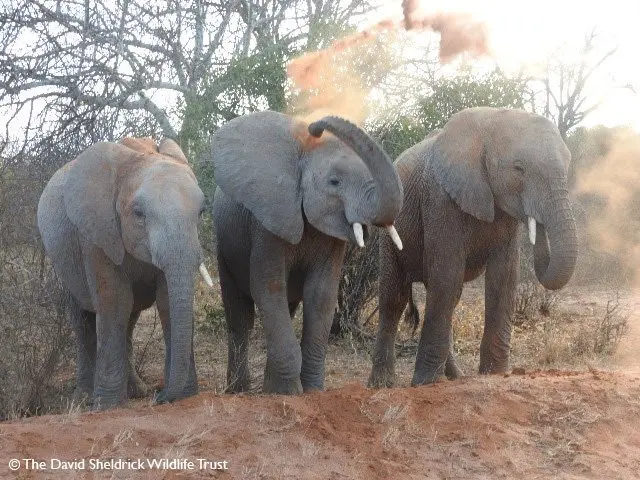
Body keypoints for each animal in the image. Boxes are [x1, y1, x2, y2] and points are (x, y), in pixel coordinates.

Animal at [37, 136, 212, 408]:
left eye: (202, 212)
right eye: (139, 214)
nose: (159, 397)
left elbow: (166, 302)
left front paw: (185, 395)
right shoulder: (96, 232)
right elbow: (114, 301)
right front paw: (107, 406)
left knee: (129, 319)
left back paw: (136, 391)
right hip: (64, 261)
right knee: (82, 319)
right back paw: (84, 398)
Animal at [212, 111, 402, 394]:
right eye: (334, 182)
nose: (315, 126)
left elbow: (322, 294)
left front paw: (312, 391)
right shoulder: (269, 222)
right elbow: (268, 287)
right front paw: (288, 394)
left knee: (286, 310)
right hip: (223, 246)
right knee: (239, 316)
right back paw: (239, 390)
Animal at [368, 107, 576, 388]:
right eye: (519, 168)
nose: (538, 222)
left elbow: (503, 277)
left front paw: (496, 373)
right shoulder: (440, 199)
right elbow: (448, 274)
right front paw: (425, 383)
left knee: (448, 297)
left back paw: (456, 376)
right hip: (388, 233)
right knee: (394, 297)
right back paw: (381, 384)